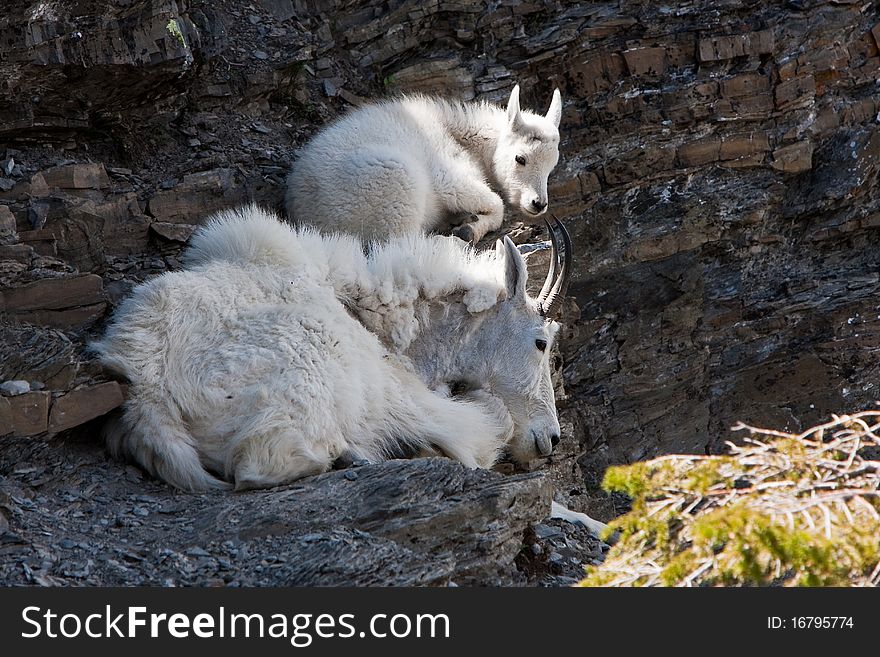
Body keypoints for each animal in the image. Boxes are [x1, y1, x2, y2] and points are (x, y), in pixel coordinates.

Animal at [93, 205, 576, 492]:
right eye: (540, 342)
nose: (549, 439)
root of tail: (147, 391)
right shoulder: (399, 392)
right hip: (302, 388)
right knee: (264, 465)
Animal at [288, 84, 564, 242]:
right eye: (520, 158)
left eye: (552, 167)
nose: (538, 204)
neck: (464, 138)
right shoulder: (450, 178)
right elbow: (497, 205)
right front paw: (469, 228)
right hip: (396, 185)